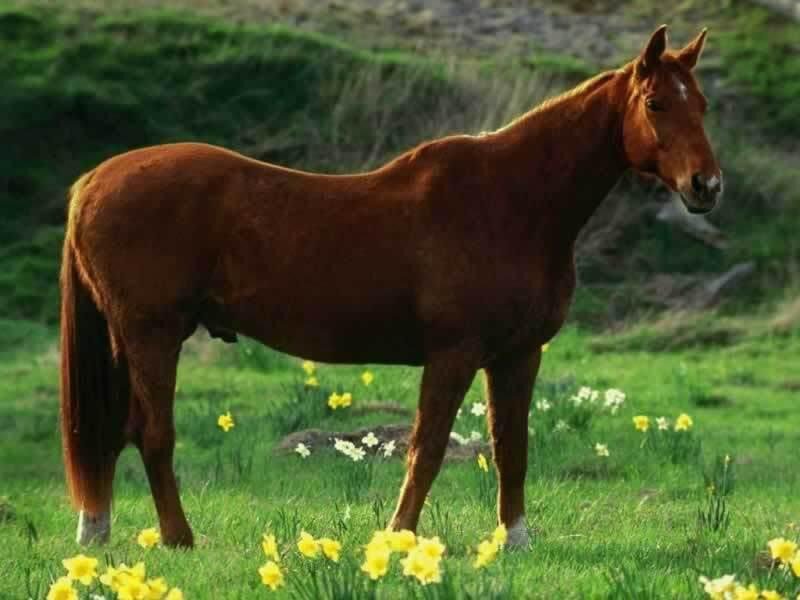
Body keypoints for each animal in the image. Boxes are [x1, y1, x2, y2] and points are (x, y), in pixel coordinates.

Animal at [60, 24, 722, 548]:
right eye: (656, 103)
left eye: (703, 105)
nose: (706, 186)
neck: (511, 203)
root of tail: (93, 181)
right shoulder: (453, 354)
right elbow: (426, 449)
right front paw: (399, 537)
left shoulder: (518, 354)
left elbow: (512, 447)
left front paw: (514, 542)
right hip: (153, 336)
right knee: (153, 434)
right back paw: (178, 538)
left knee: (114, 434)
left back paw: (100, 533)